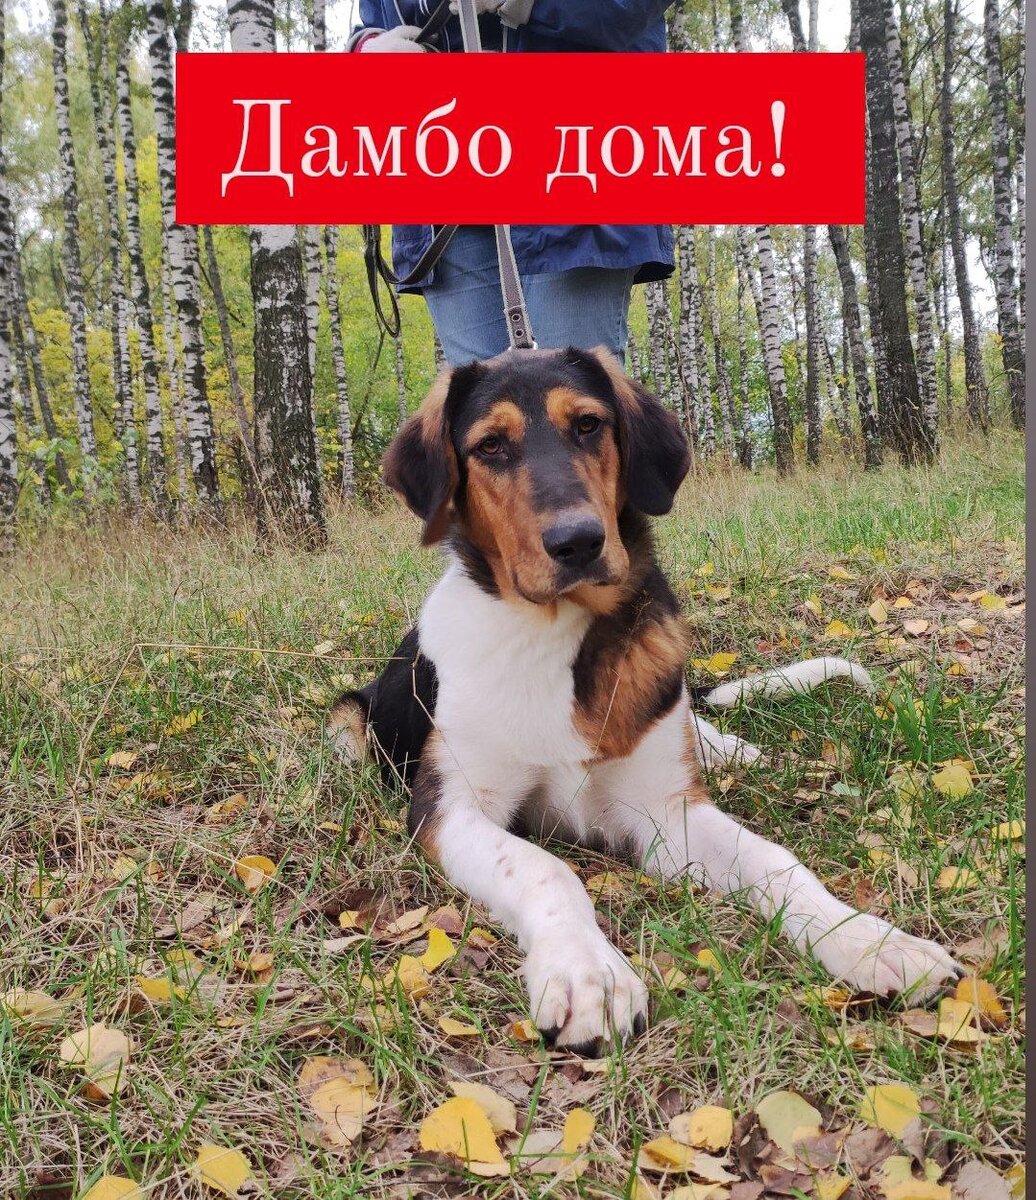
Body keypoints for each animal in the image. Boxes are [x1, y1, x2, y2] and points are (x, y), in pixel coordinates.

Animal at [329, 346, 961, 1056]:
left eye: (588, 425)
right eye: (490, 445)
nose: (578, 541)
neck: (556, 639)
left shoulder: (665, 814)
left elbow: (777, 861)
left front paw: (870, 941)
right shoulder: (449, 809)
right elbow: (546, 869)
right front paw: (589, 974)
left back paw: (727, 748)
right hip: (348, 722)